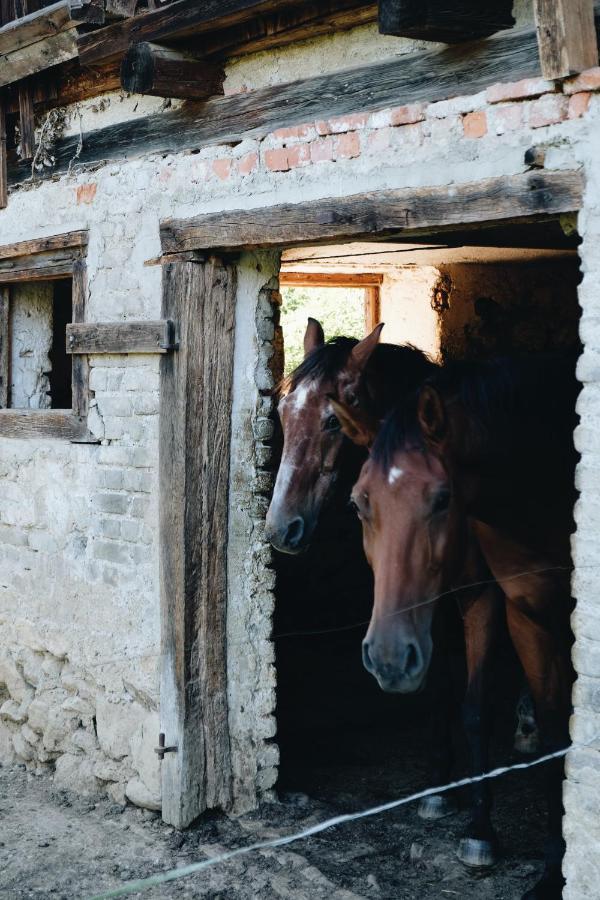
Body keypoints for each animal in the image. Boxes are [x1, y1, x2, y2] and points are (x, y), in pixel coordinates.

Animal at [268, 322, 524, 864]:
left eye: (332, 422)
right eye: (282, 412)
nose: (281, 529)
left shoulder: (481, 598)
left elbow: (475, 707)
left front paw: (480, 828)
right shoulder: (428, 607)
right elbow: (441, 690)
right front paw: (437, 790)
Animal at [350, 356, 580, 896]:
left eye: (441, 499)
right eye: (359, 503)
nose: (388, 658)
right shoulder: (524, 615)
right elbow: (553, 736)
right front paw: (551, 866)